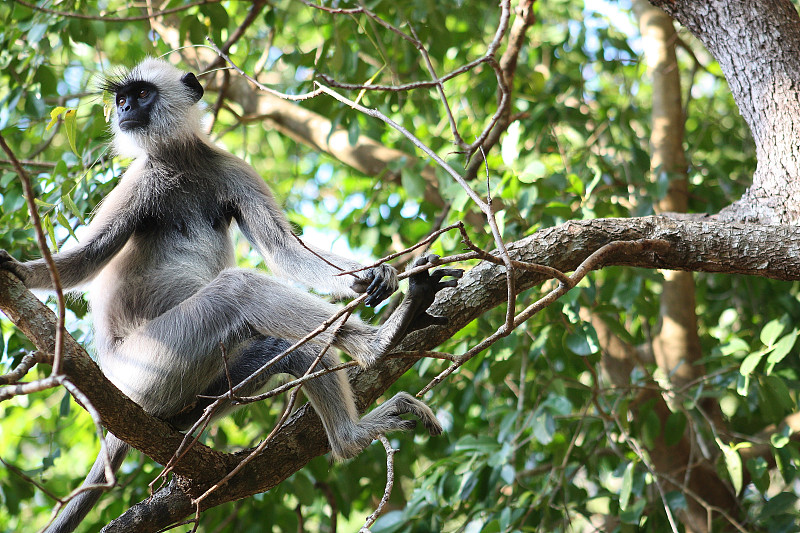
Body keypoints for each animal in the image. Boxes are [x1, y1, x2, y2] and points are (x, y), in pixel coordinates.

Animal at [0, 58, 462, 532]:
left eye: (141, 94)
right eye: (123, 98)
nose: (125, 108)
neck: (180, 160)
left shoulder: (229, 168)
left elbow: (283, 249)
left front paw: (372, 274)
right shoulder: (139, 180)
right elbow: (86, 258)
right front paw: (20, 271)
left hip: (190, 392)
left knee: (286, 346)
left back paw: (356, 415)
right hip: (149, 364)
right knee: (239, 289)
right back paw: (378, 351)